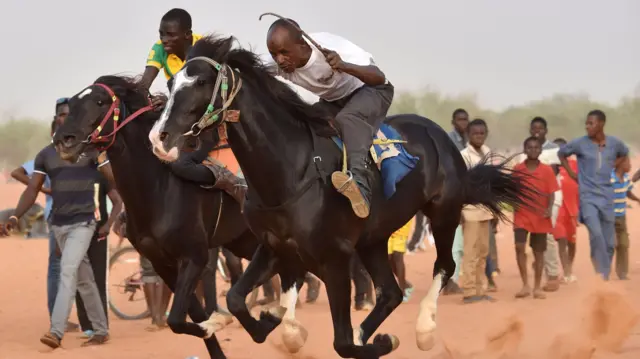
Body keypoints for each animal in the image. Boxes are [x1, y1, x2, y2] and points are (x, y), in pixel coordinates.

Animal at [53, 76, 260, 359]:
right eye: (72, 103)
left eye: (99, 101)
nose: (64, 139)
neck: (159, 189)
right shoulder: (162, 261)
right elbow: (189, 317)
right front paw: (216, 327)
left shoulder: (194, 256)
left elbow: (179, 319)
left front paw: (221, 319)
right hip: (244, 241)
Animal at [148, 34, 532, 359]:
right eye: (170, 83)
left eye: (200, 83)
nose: (159, 137)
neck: (290, 172)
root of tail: (440, 136)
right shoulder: (274, 247)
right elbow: (237, 299)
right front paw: (264, 320)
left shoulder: (335, 257)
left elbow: (343, 342)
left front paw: (381, 341)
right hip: (373, 239)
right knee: (390, 292)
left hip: (442, 211)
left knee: (444, 265)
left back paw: (423, 328)